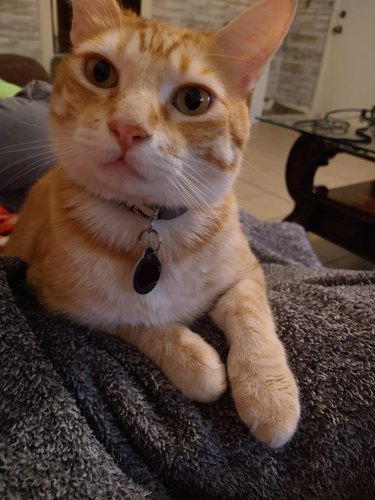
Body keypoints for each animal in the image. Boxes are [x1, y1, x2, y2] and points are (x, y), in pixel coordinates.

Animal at [4, 0, 300, 446]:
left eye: (194, 99)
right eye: (100, 72)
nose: (128, 127)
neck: (154, 222)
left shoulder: (248, 272)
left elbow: (251, 316)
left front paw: (268, 392)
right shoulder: (60, 301)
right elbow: (137, 321)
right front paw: (196, 361)